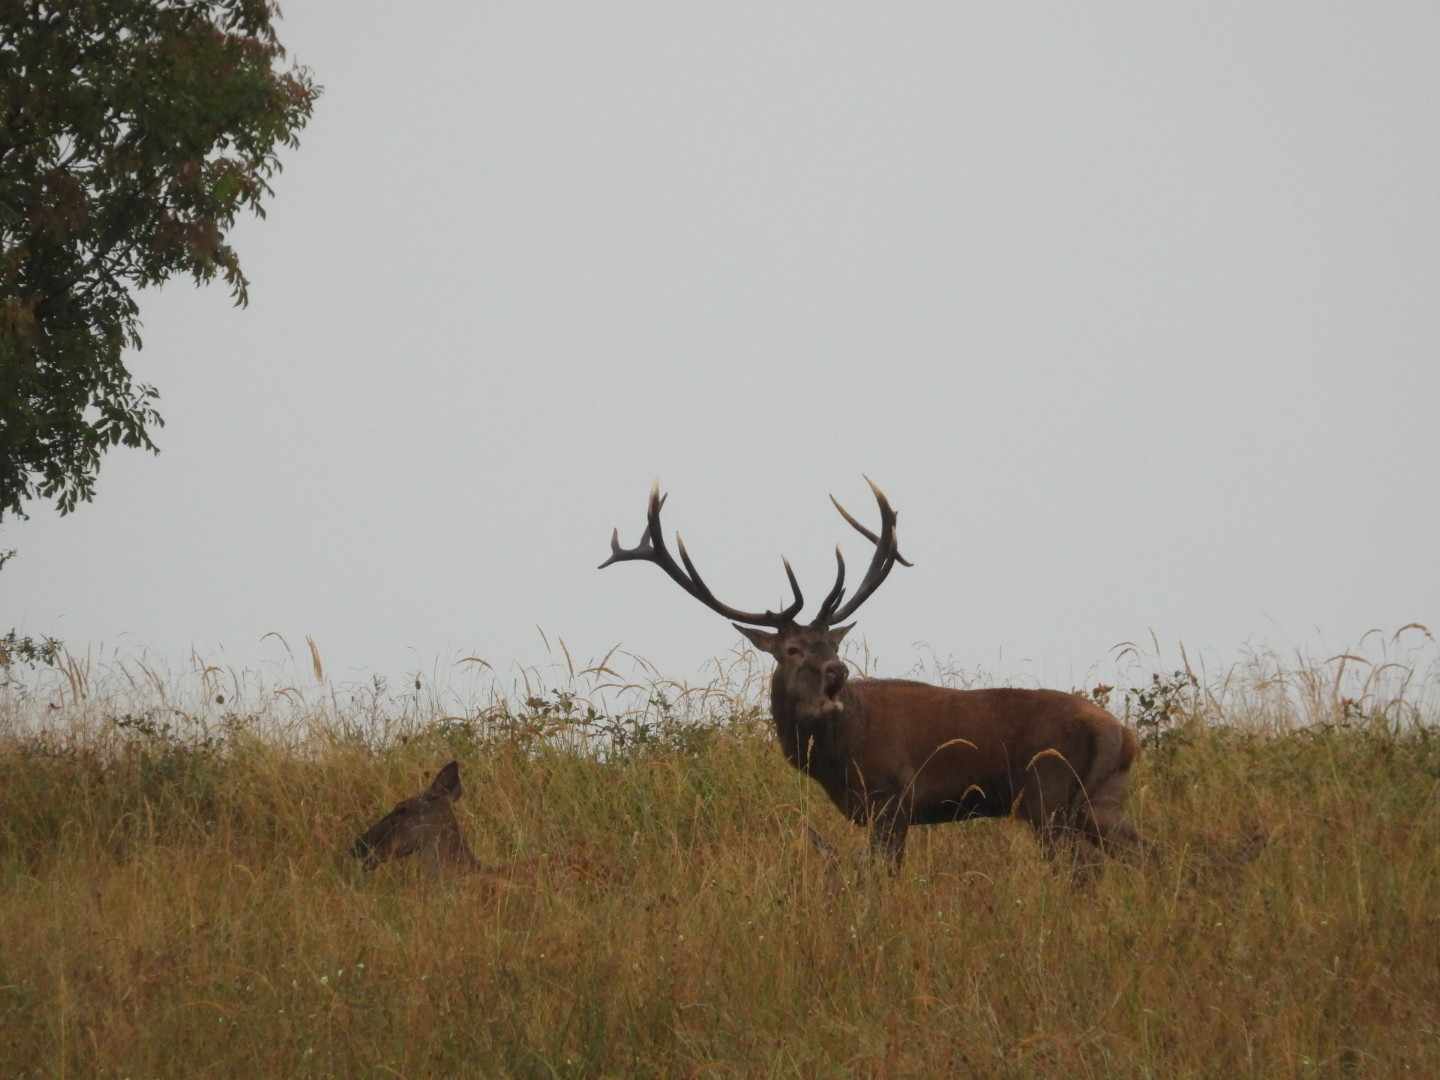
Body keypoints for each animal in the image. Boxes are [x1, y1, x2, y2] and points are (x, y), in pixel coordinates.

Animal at [599, 479, 1144, 873]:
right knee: (1146, 855)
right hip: (1100, 799)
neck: (836, 757)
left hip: (1047, 795)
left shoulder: (892, 799)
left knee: (1083, 870)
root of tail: (1121, 733)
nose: (837, 672)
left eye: (834, 644)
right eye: (793, 649)